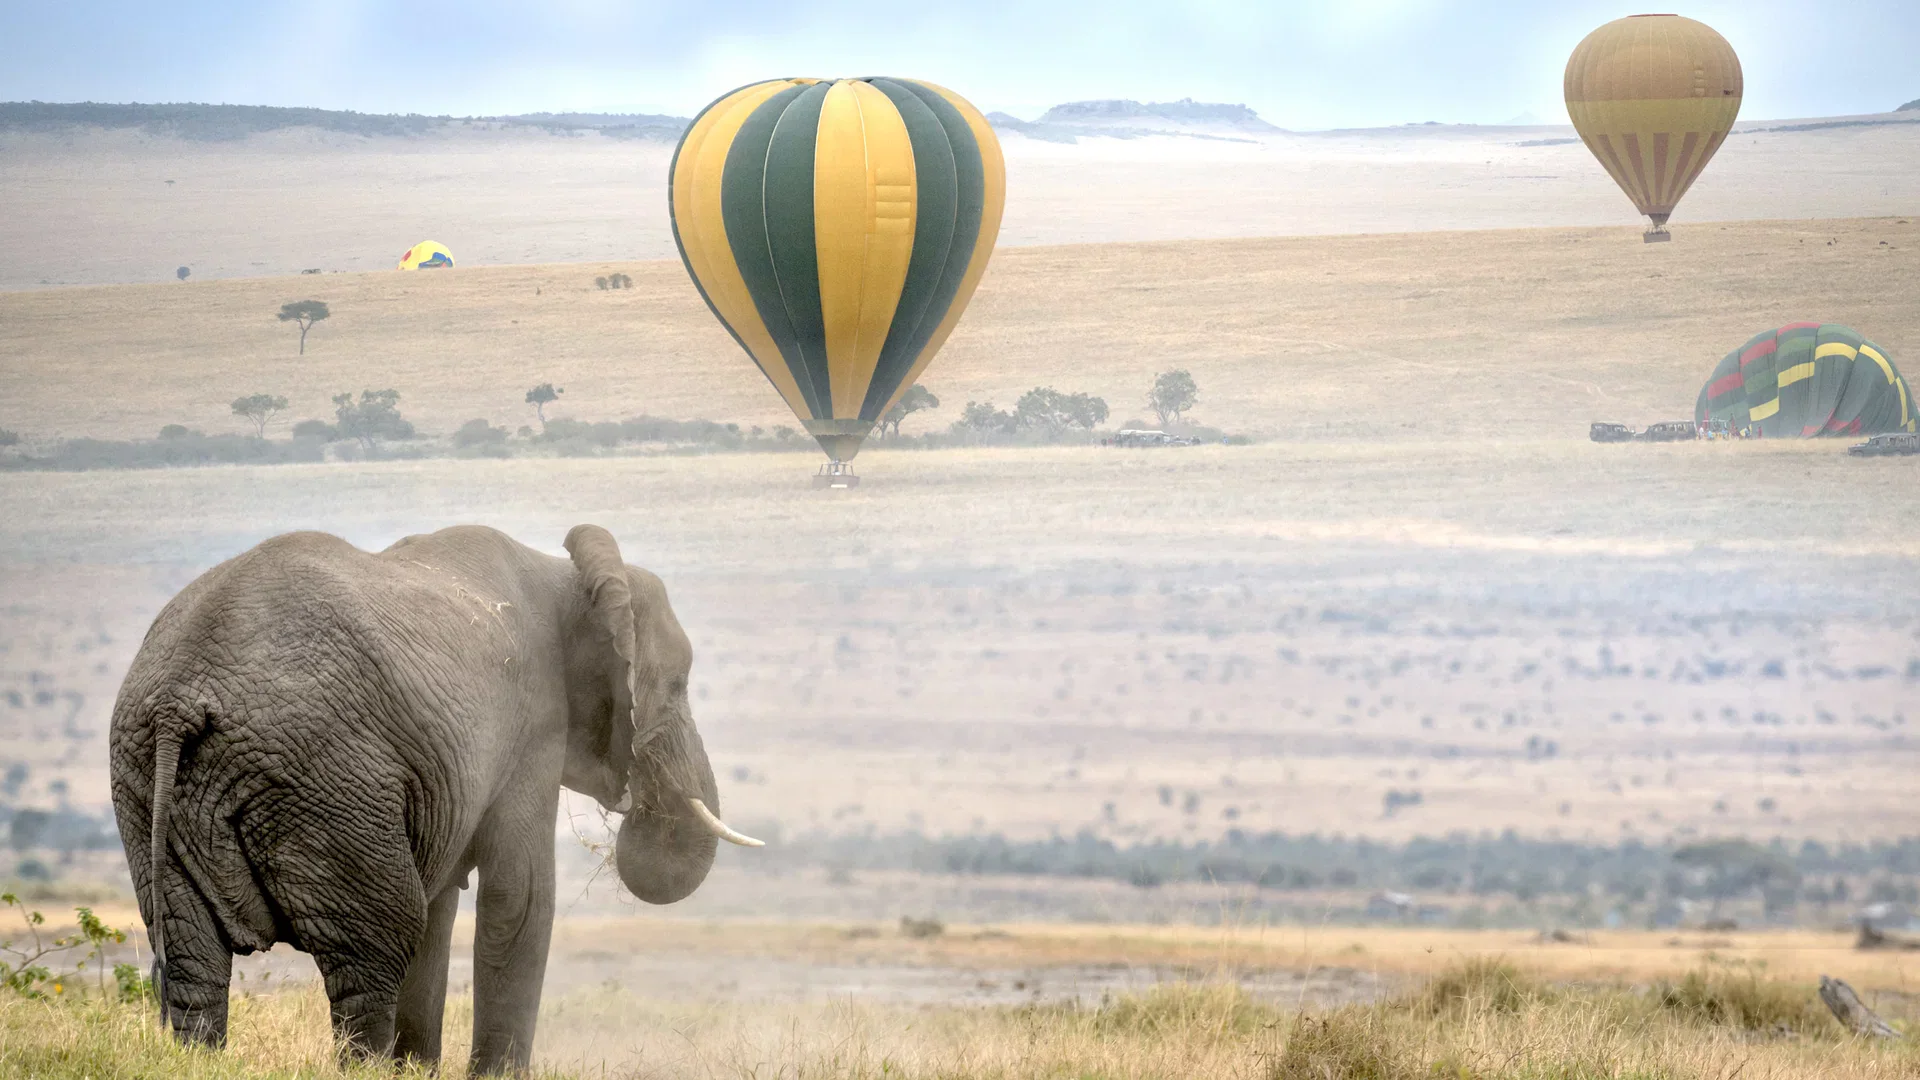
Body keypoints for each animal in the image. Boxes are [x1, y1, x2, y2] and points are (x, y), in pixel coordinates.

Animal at [109, 523, 760, 1074]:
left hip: (145, 786)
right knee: (377, 944)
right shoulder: (532, 727)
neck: (568, 574)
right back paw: (366, 1066)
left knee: (194, 961)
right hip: (325, 780)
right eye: (678, 684)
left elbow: (443, 903)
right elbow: (519, 898)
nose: (640, 800)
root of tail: (179, 697)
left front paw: (417, 1070)